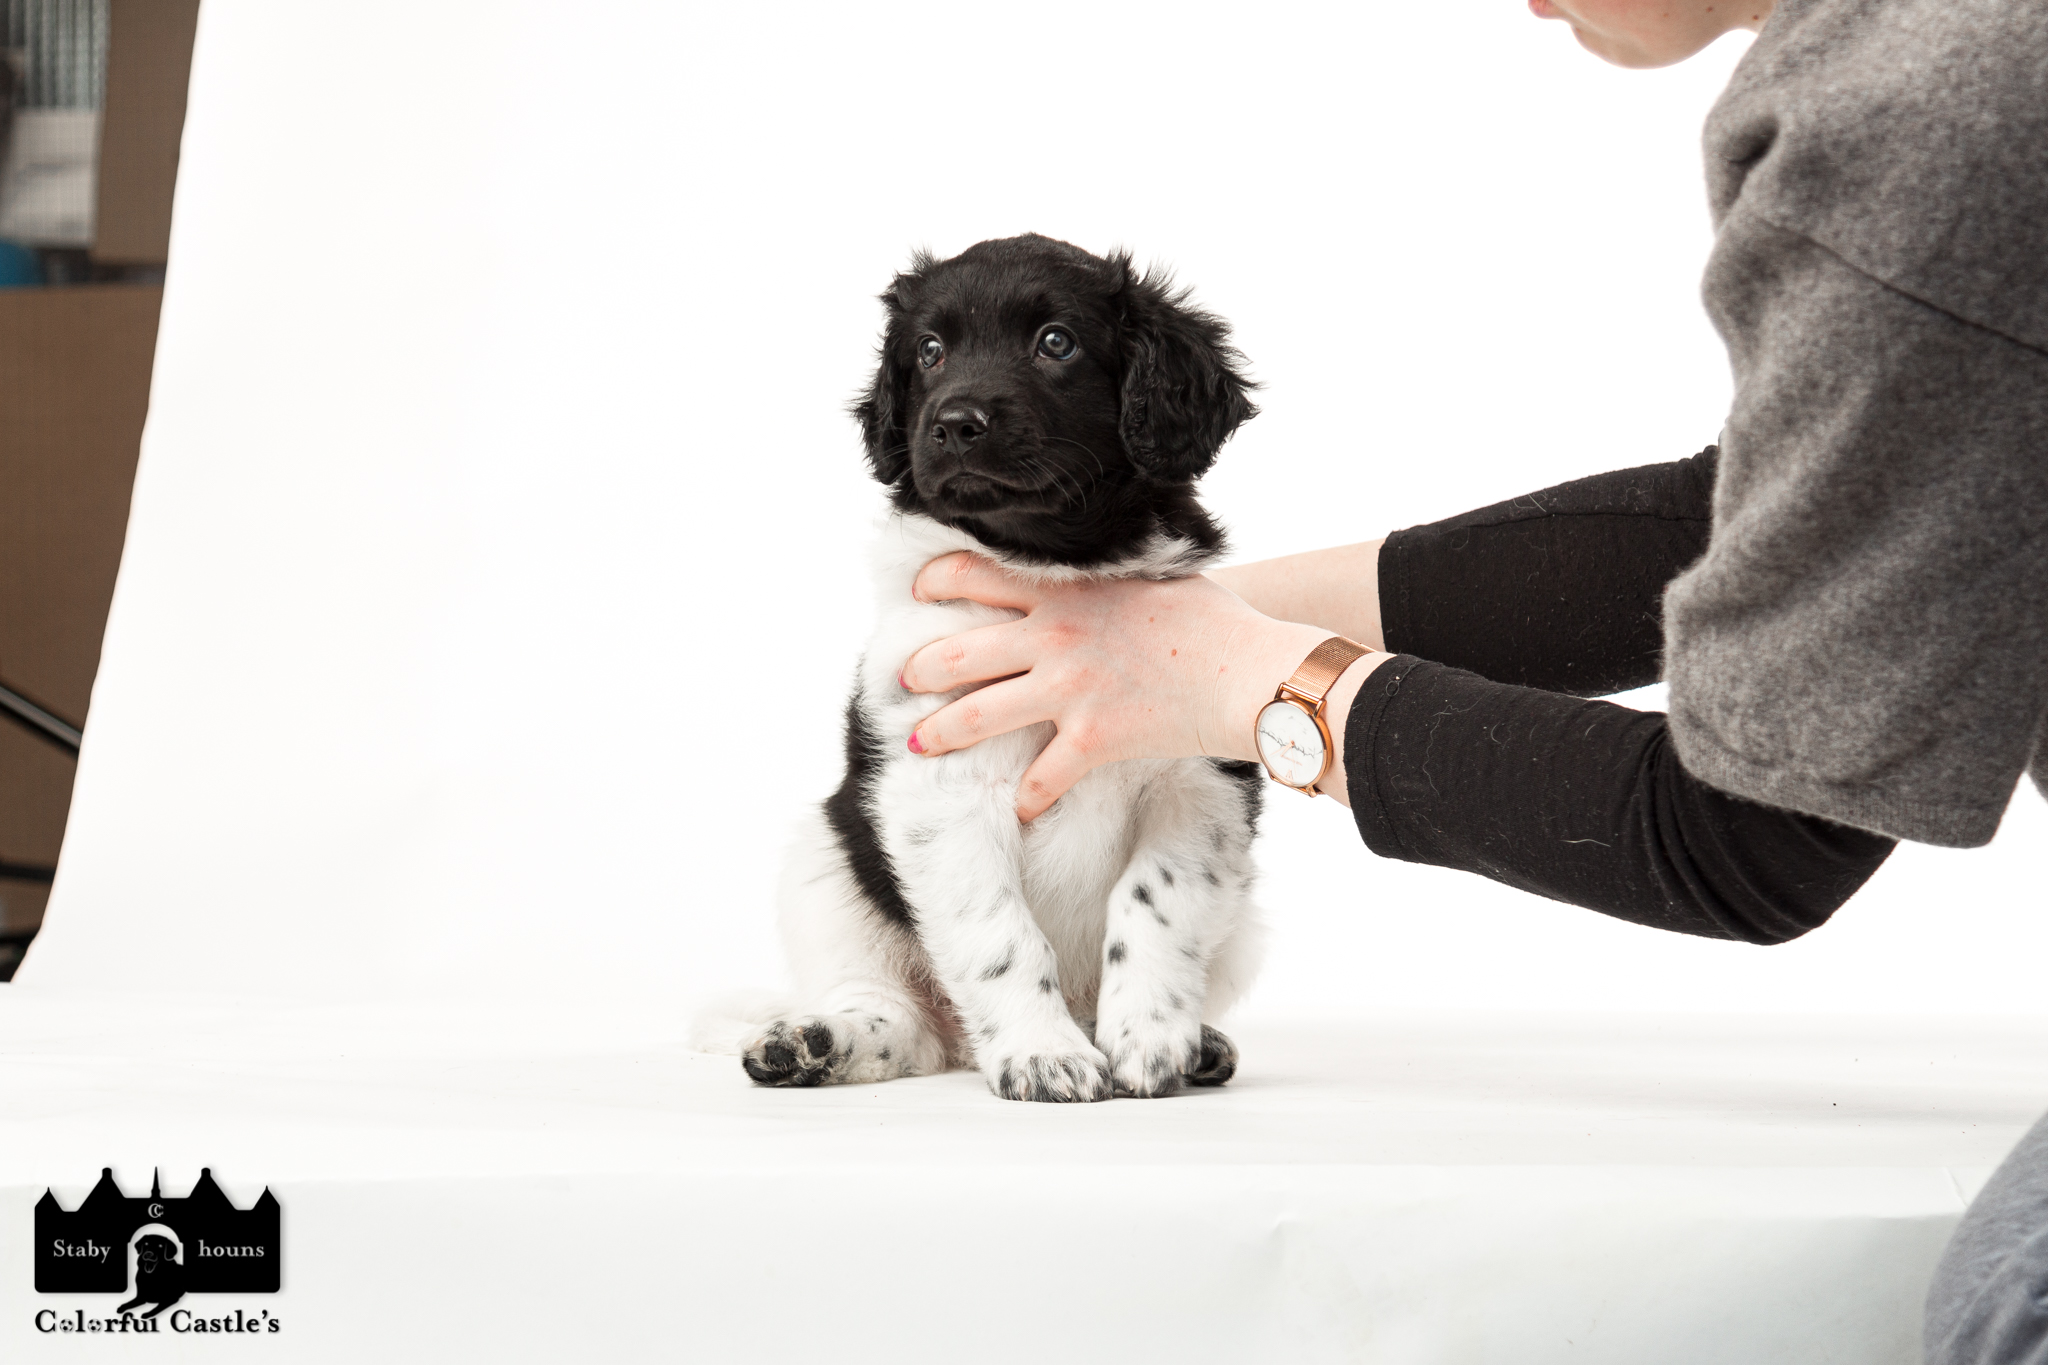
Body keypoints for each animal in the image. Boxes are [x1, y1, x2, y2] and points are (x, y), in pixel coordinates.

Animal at [723, 234, 1266, 1102]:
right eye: (929, 352)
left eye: (1056, 341)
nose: (953, 425)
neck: (1050, 568)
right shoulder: (942, 780)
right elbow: (998, 929)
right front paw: (1042, 1052)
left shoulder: (1201, 779)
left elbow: (1156, 900)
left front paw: (1149, 1035)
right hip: (824, 865)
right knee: (898, 1019)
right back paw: (811, 1041)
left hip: (1246, 925)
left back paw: (1198, 1042)